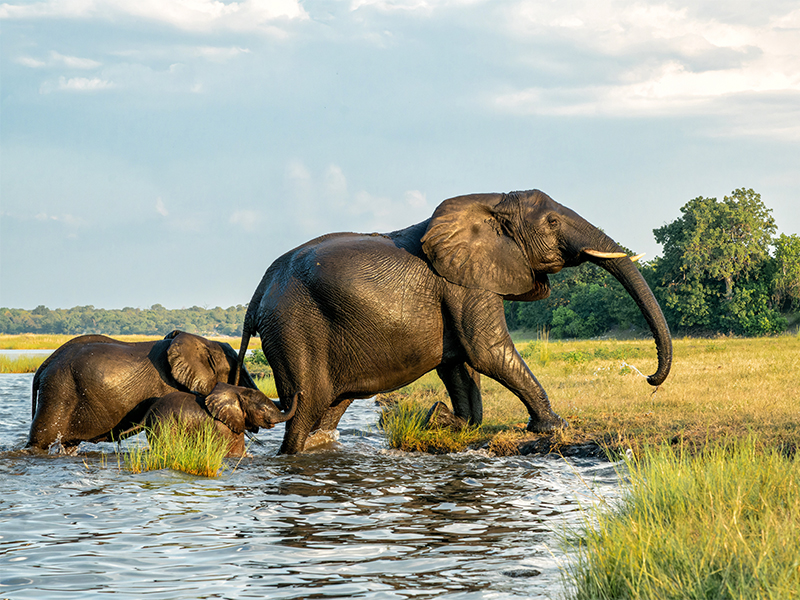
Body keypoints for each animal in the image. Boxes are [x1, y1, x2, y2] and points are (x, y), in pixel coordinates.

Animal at [142, 383, 298, 457]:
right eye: (263, 410)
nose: (299, 391)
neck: (238, 392)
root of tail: (150, 409)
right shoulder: (222, 427)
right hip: (163, 422)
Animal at [236, 189, 672, 454]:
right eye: (551, 222)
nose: (650, 379)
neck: (492, 202)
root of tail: (257, 295)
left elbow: (459, 364)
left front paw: (448, 420)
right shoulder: (465, 282)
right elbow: (486, 352)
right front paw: (554, 427)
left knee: (329, 409)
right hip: (293, 328)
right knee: (304, 409)